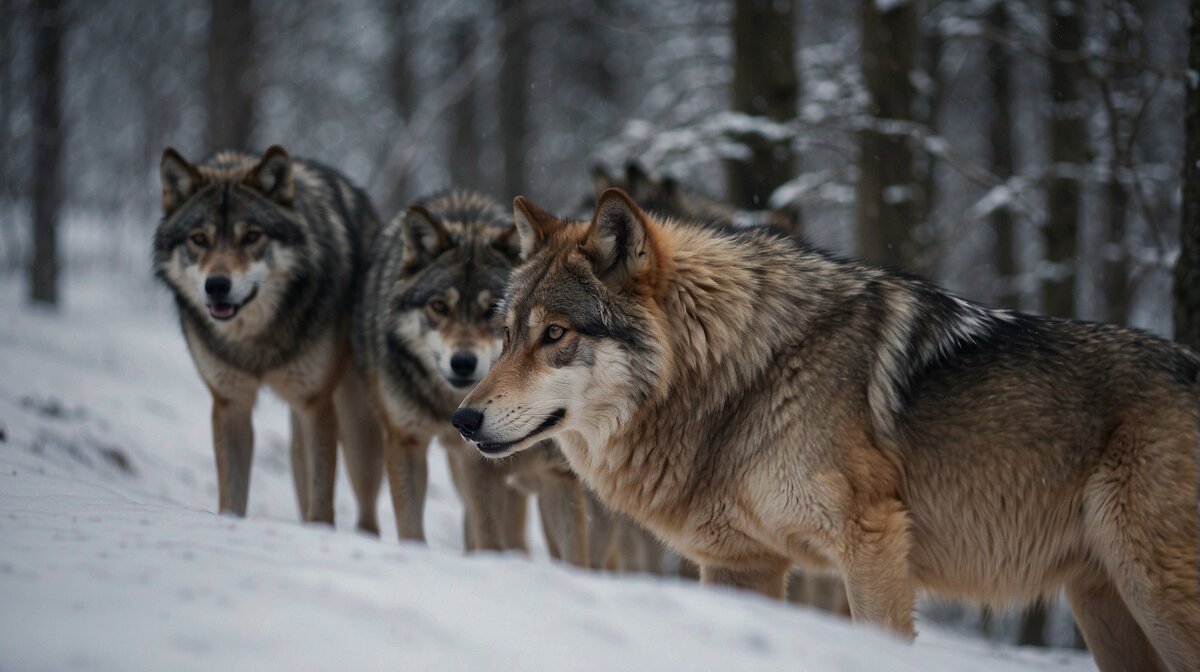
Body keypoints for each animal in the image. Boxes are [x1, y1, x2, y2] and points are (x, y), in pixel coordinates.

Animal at [153, 145, 379, 530]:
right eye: (199, 239)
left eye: (251, 236)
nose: (217, 285)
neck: (256, 341)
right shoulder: (230, 403)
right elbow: (232, 497)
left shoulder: (316, 403)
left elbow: (323, 504)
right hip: (299, 437)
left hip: (355, 423)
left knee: (368, 512)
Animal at [350, 190, 585, 561]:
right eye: (439, 306)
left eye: (490, 310)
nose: (463, 362)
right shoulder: (409, 440)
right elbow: (418, 527)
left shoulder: (556, 472)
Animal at [451, 184, 1200, 672]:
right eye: (507, 333)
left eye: (555, 335)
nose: (462, 417)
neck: (745, 375)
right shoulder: (739, 564)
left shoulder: (871, 545)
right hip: (1105, 604)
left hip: (1155, 593)